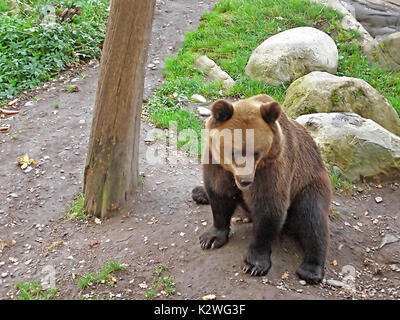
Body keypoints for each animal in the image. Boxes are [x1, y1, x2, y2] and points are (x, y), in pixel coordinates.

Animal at [193, 94, 332, 282]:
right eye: (234, 152)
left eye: (256, 152)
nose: (246, 181)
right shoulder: (216, 163)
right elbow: (219, 194)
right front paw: (211, 238)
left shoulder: (271, 167)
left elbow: (269, 207)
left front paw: (254, 264)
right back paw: (199, 193)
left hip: (310, 182)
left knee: (312, 216)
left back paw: (310, 269)